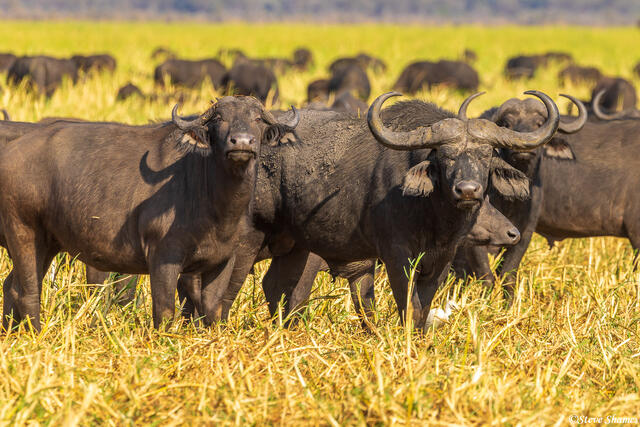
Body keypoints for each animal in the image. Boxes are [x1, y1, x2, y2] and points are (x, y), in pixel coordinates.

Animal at [0, 96, 300, 330]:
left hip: (47, 243)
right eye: (219, 119)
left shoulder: (223, 260)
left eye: (258, 118)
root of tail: (12, 152)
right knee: (28, 291)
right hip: (23, 232)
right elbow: (165, 311)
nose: (242, 142)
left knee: (13, 285)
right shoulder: (163, 257)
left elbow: (213, 310)